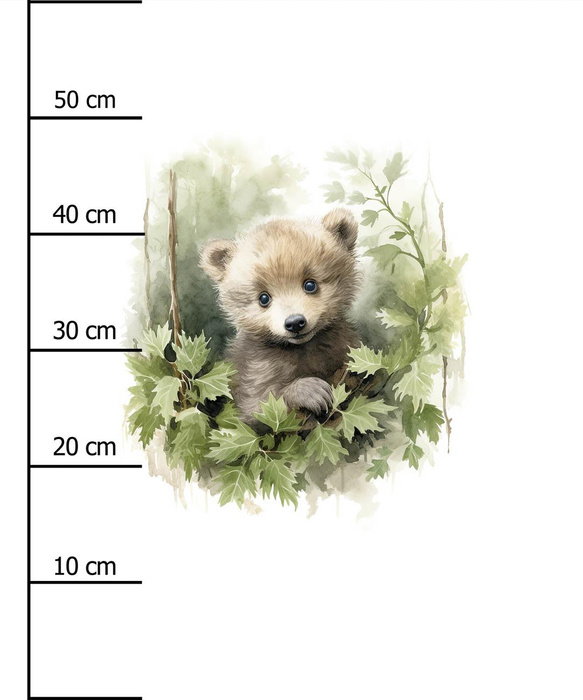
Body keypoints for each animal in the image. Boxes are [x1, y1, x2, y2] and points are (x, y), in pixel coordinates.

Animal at [200, 208, 361, 426]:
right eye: (264, 298)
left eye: (310, 284)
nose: (295, 323)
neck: (303, 349)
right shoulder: (254, 371)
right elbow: (260, 407)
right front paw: (310, 391)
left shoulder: (342, 346)